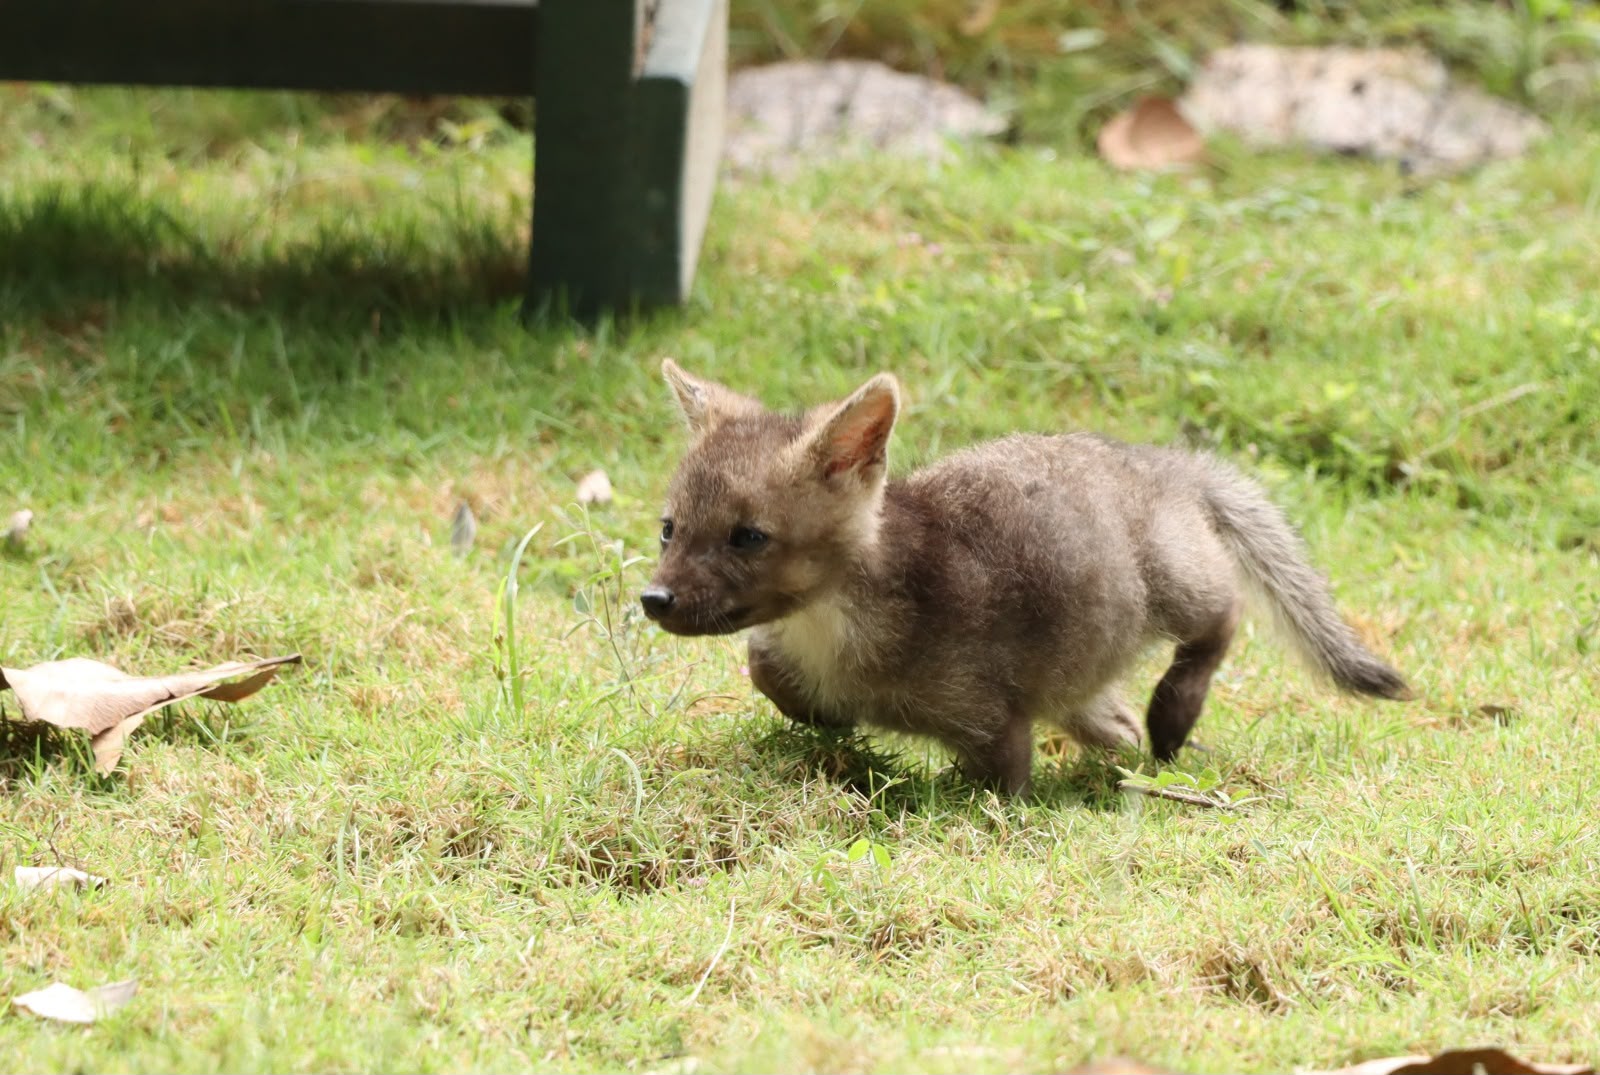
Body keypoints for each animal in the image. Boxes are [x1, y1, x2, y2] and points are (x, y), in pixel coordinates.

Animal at [640, 360, 1409, 795]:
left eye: (749, 536)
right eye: (669, 527)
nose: (653, 598)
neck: (835, 632)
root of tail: (1169, 462)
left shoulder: (992, 720)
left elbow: (1002, 790)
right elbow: (764, 664)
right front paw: (826, 716)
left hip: (1180, 585)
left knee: (1223, 620)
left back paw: (1173, 712)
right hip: (1085, 676)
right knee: (1118, 722)